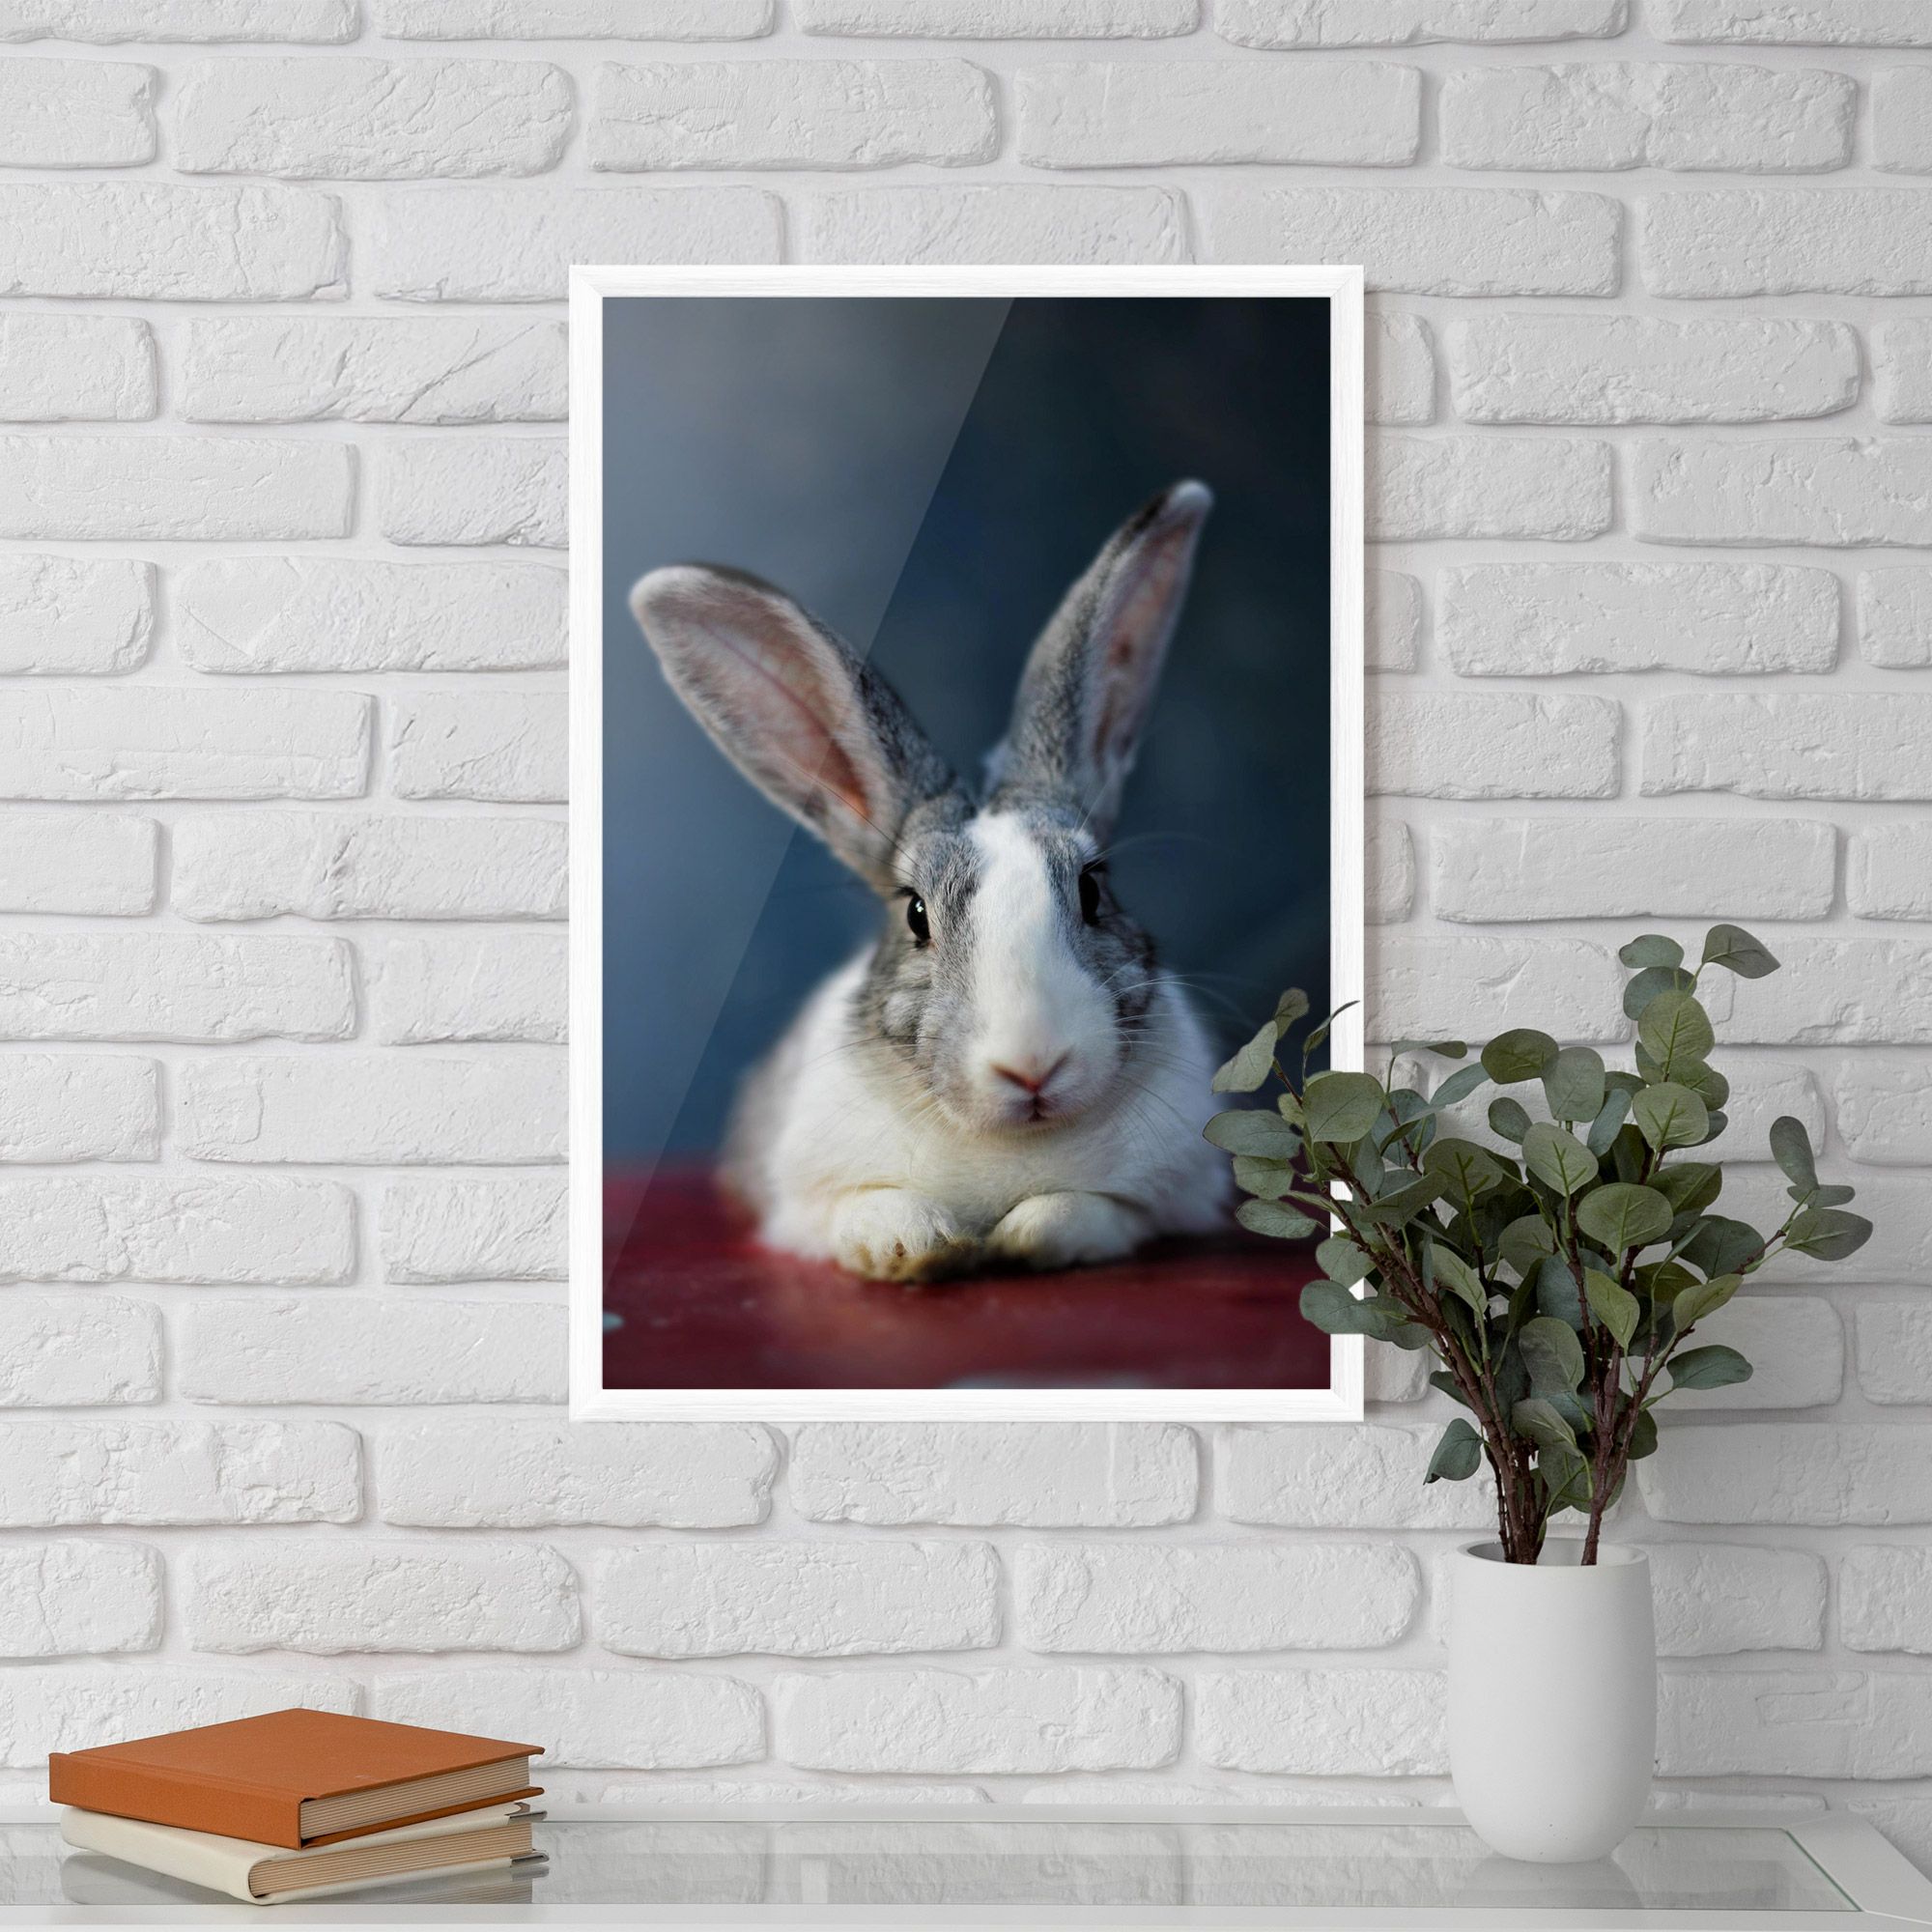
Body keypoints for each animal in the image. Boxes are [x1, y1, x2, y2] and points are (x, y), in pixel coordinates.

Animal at [629, 480, 1231, 1283]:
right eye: (916, 915)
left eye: (1093, 890)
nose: (1033, 1065)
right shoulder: (804, 1204)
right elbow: (869, 1211)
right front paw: (919, 1246)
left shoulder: (1165, 1199)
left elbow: (1087, 1212)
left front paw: (1023, 1236)